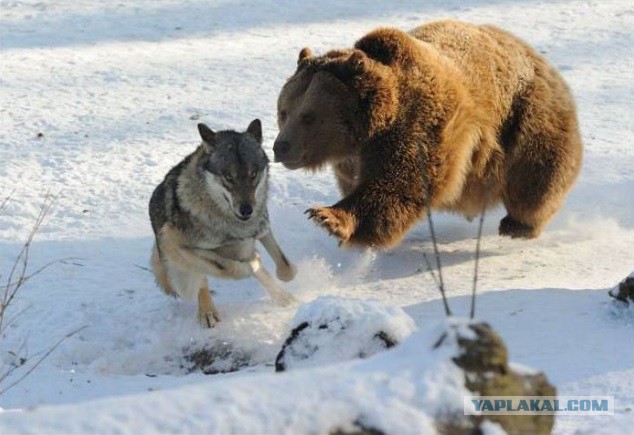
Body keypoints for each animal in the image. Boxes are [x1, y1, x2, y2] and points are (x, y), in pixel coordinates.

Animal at [274, 20, 580, 250]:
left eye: (309, 116)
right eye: (284, 111)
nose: (281, 147)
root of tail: (537, 56)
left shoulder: (420, 125)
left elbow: (398, 184)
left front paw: (328, 218)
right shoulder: (351, 162)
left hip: (527, 115)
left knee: (537, 174)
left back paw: (518, 224)